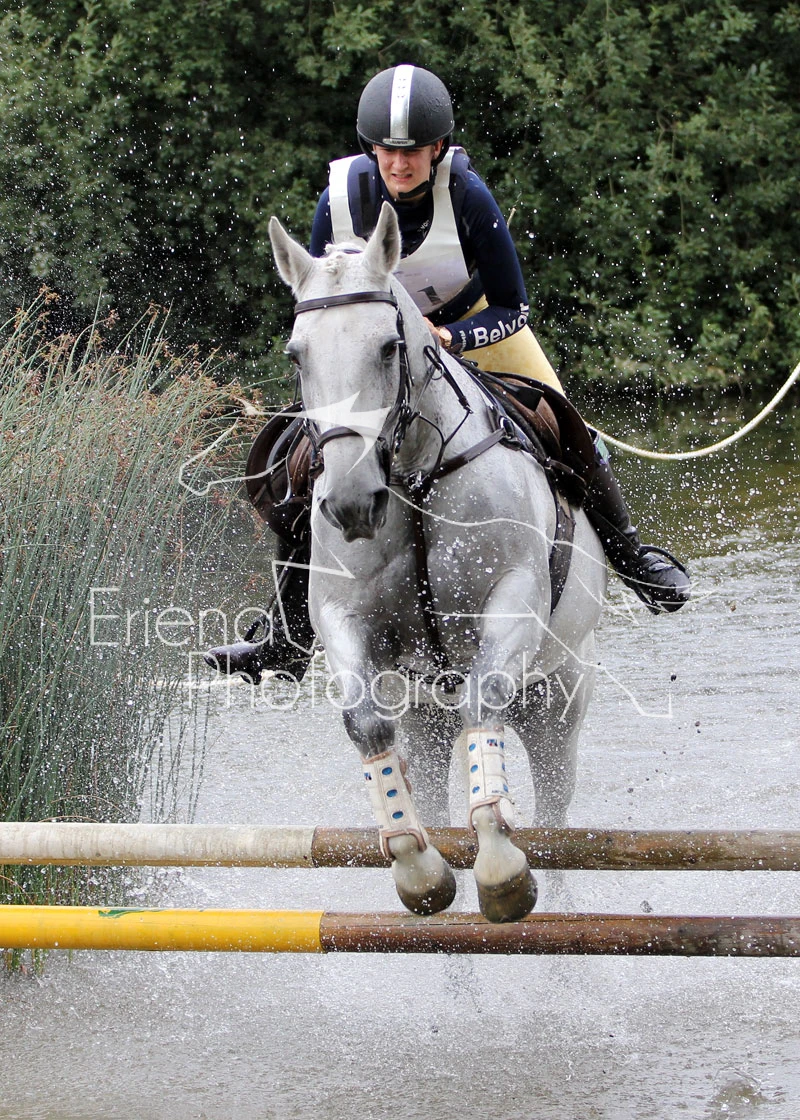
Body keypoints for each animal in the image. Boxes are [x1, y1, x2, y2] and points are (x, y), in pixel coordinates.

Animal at [268, 203, 607, 923]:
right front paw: (418, 870)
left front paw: (502, 869)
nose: (351, 502)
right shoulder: (343, 617)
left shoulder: (515, 596)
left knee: (556, 817)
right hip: (426, 719)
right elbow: (365, 722)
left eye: (387, 347)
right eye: (297, 354)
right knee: (428, 781)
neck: (414, 476)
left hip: (558, 701)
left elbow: (485, 696)